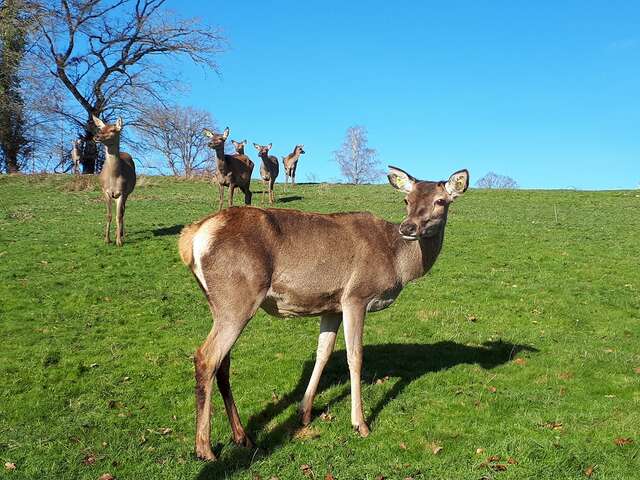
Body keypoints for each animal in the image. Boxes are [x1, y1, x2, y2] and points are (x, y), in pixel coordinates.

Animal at [91, 114, 136, 246]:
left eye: (112, 130)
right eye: (101, 128)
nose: (96, 136)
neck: (114, 177)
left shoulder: (122, 192)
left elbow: (118, 216)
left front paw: (119, 241)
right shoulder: (105, 191)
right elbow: (109, 215)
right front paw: (107, 239)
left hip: (127, 193)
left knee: (123, 211)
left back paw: (121, 234)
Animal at [179, 165, 470, 462]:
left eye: (440, 201)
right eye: (406, 200)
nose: (408, 227)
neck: (398, 265)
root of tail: (191, 236)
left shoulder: (332, 305)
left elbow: (323, 352)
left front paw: (305, 412)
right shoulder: (356, 296)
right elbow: (355, 356)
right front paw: (360, 423)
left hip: (218, 302)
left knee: (223, 362)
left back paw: (242, 436)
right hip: (237, 297)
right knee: (206, 357)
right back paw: (205, 448)